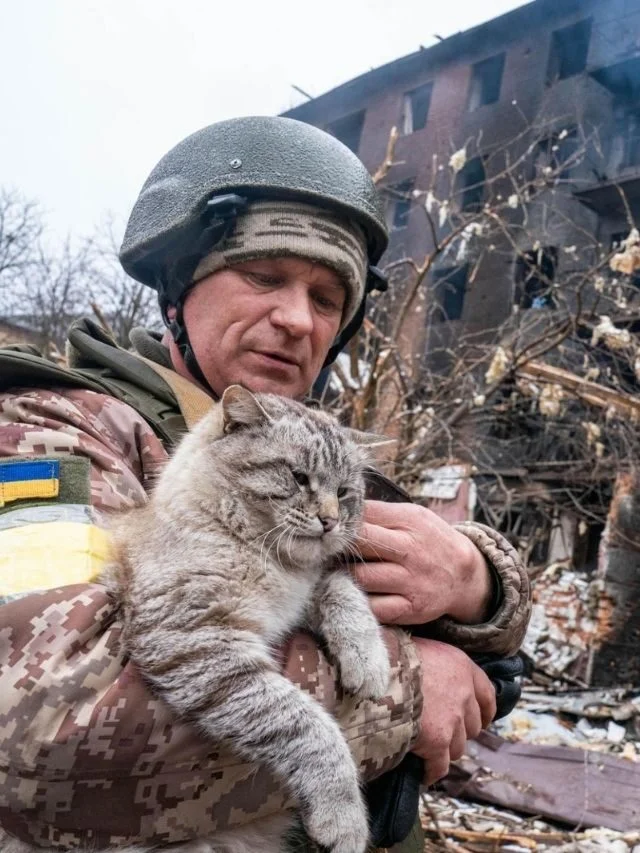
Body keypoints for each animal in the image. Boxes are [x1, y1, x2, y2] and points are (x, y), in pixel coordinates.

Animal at [51, 384, 390, 852]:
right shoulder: (202, 642)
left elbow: (343, 591)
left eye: (343, 492)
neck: (266, 557)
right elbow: (310, 727)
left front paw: (369, 664)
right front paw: (345, 818)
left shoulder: (302, 596)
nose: (330, 521)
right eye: (298, 477)